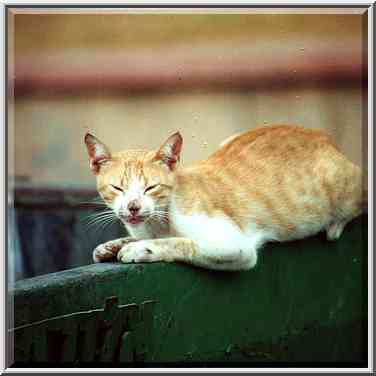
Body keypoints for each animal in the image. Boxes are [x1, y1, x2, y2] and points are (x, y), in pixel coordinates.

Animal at [83, 125, 366, 270]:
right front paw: (111, 245)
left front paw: (142, 248)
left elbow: (182, 242)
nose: (133, 207)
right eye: (117, 188)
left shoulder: (238, 247)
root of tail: (327, 139)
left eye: (150, 187)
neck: (158, 223)